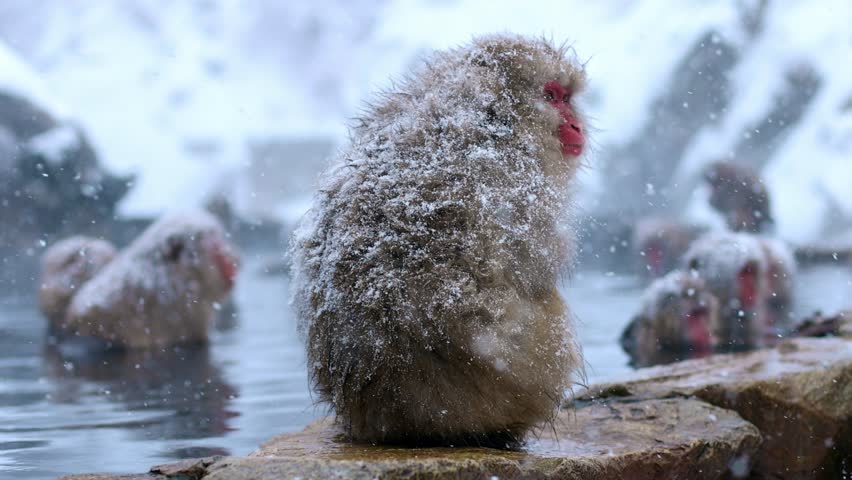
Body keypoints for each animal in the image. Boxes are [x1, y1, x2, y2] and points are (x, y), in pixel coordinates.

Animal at [291, 35, 587, 447]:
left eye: (567, 97)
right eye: (553, 96)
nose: (577, 125)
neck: (500, 116)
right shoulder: (520, 183)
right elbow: (531, 268)